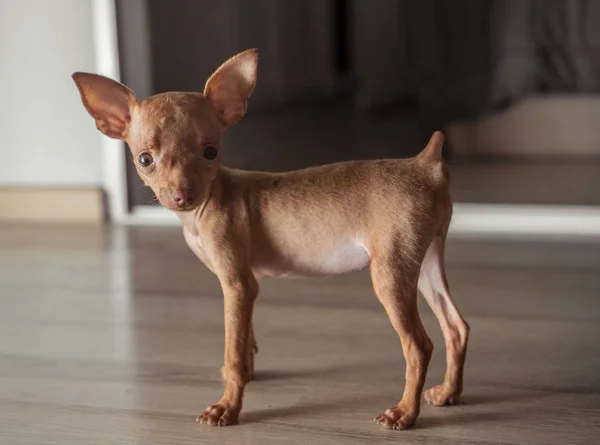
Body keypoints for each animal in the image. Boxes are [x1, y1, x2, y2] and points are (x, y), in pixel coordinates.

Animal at [72, 49, 468, 430]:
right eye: (145, 159)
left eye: (211, 152)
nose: (183, 196)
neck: (206, 207)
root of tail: (424, 163)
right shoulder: (246, 285)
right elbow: (245, 340)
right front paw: (245, 376)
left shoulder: (236, 284)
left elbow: (232, 349)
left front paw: (227, 408)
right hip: (425, 261)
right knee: (456, 327)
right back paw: (448, 392)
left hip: (390, 274)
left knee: (419, 346)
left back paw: (404, 413)